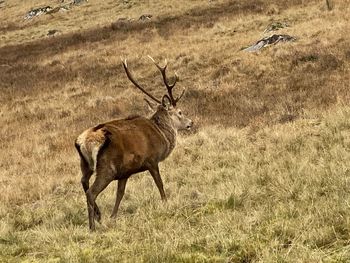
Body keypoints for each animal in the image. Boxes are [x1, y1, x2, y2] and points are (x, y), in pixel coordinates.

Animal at [75, 57, 193, 231]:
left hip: (86, 164)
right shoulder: (151, 160)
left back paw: (99, 215)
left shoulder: (125, 172)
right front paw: (165, 203)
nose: (191, 123)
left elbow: (120, 194)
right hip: (106, 168)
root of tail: (84, 141)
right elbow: (159, 183)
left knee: (84, 182)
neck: (162, 135)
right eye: (179, 112)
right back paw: (92, 227)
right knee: (91, 192)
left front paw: (113, 216)